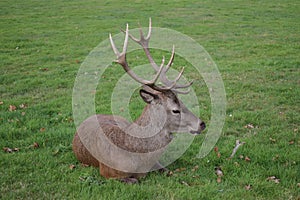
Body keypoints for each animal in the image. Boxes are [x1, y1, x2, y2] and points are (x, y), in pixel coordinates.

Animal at [72, 19, 206, 184]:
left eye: (182, 102)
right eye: (175, 109)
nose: (202, 124)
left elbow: (167, 171)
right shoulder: (107, 172)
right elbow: (133, 180)